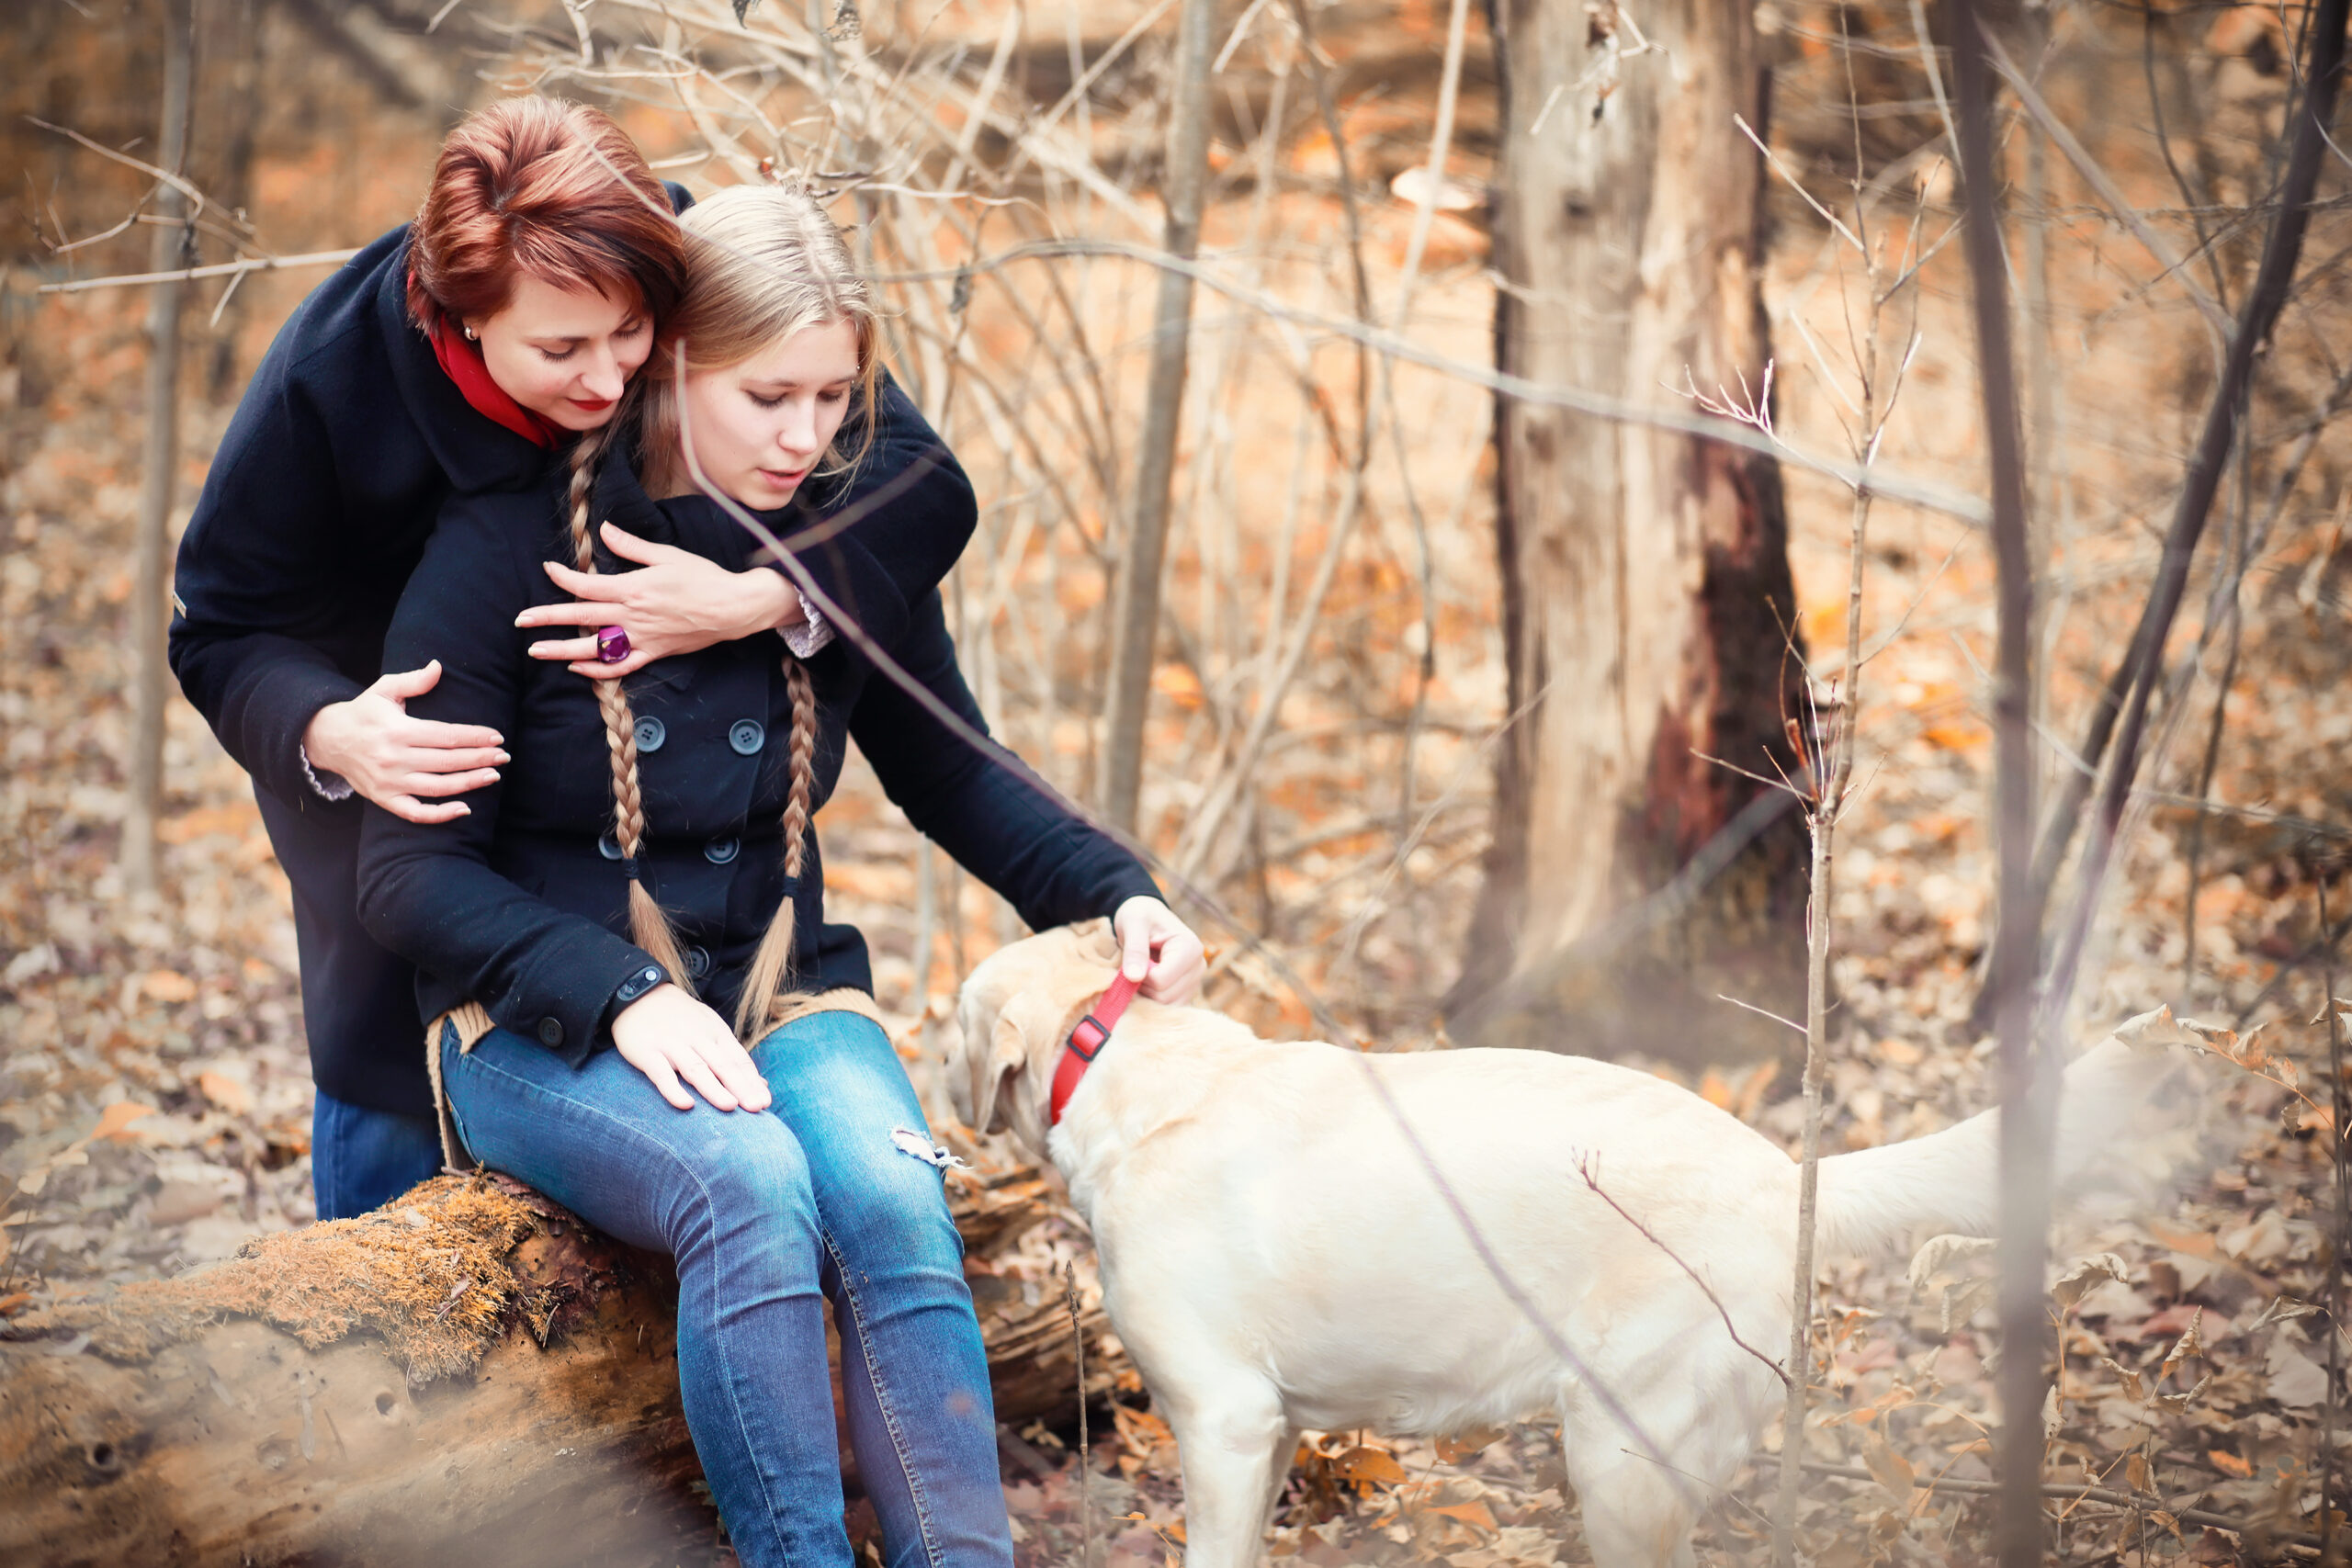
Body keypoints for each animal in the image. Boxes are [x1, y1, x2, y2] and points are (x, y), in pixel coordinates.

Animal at [945, 921, 2173, 1568]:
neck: (1117, 1059)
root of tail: (1779, 1174)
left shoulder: (1224, 1420)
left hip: (1624, 1452)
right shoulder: (1273, 1431)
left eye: (950, 1025)